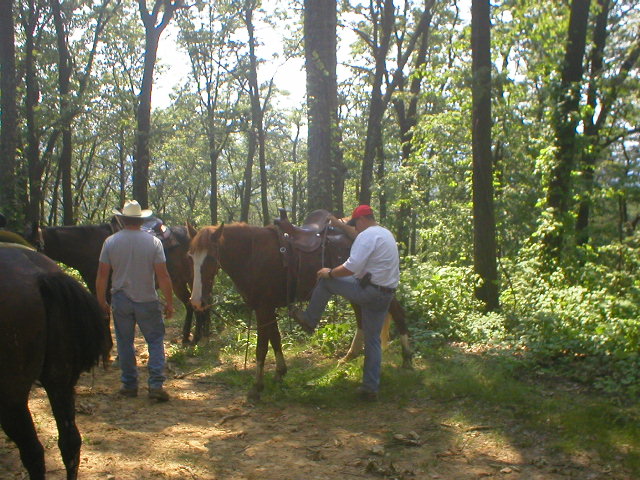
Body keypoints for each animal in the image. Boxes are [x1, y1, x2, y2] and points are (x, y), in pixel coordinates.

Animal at [25, 221, 211, 344]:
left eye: (35, 243)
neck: (92, 248)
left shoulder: (105, 290)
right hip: (179, 282)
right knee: (191, 304)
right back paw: (190, 337)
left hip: (191, 279)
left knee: (197, 304)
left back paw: (197, 337)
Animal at [188, 221, 412, 401]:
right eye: (190, 257)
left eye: (210, 259)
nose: (197, 301)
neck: (252, 255)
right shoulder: (268, 308)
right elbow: (276, 339)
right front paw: (279, 373)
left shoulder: (263, 308)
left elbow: (262, 347)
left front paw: (256, 387)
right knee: (361, 318)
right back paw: (350, 356)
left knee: (398, 314)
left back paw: (407, 359)